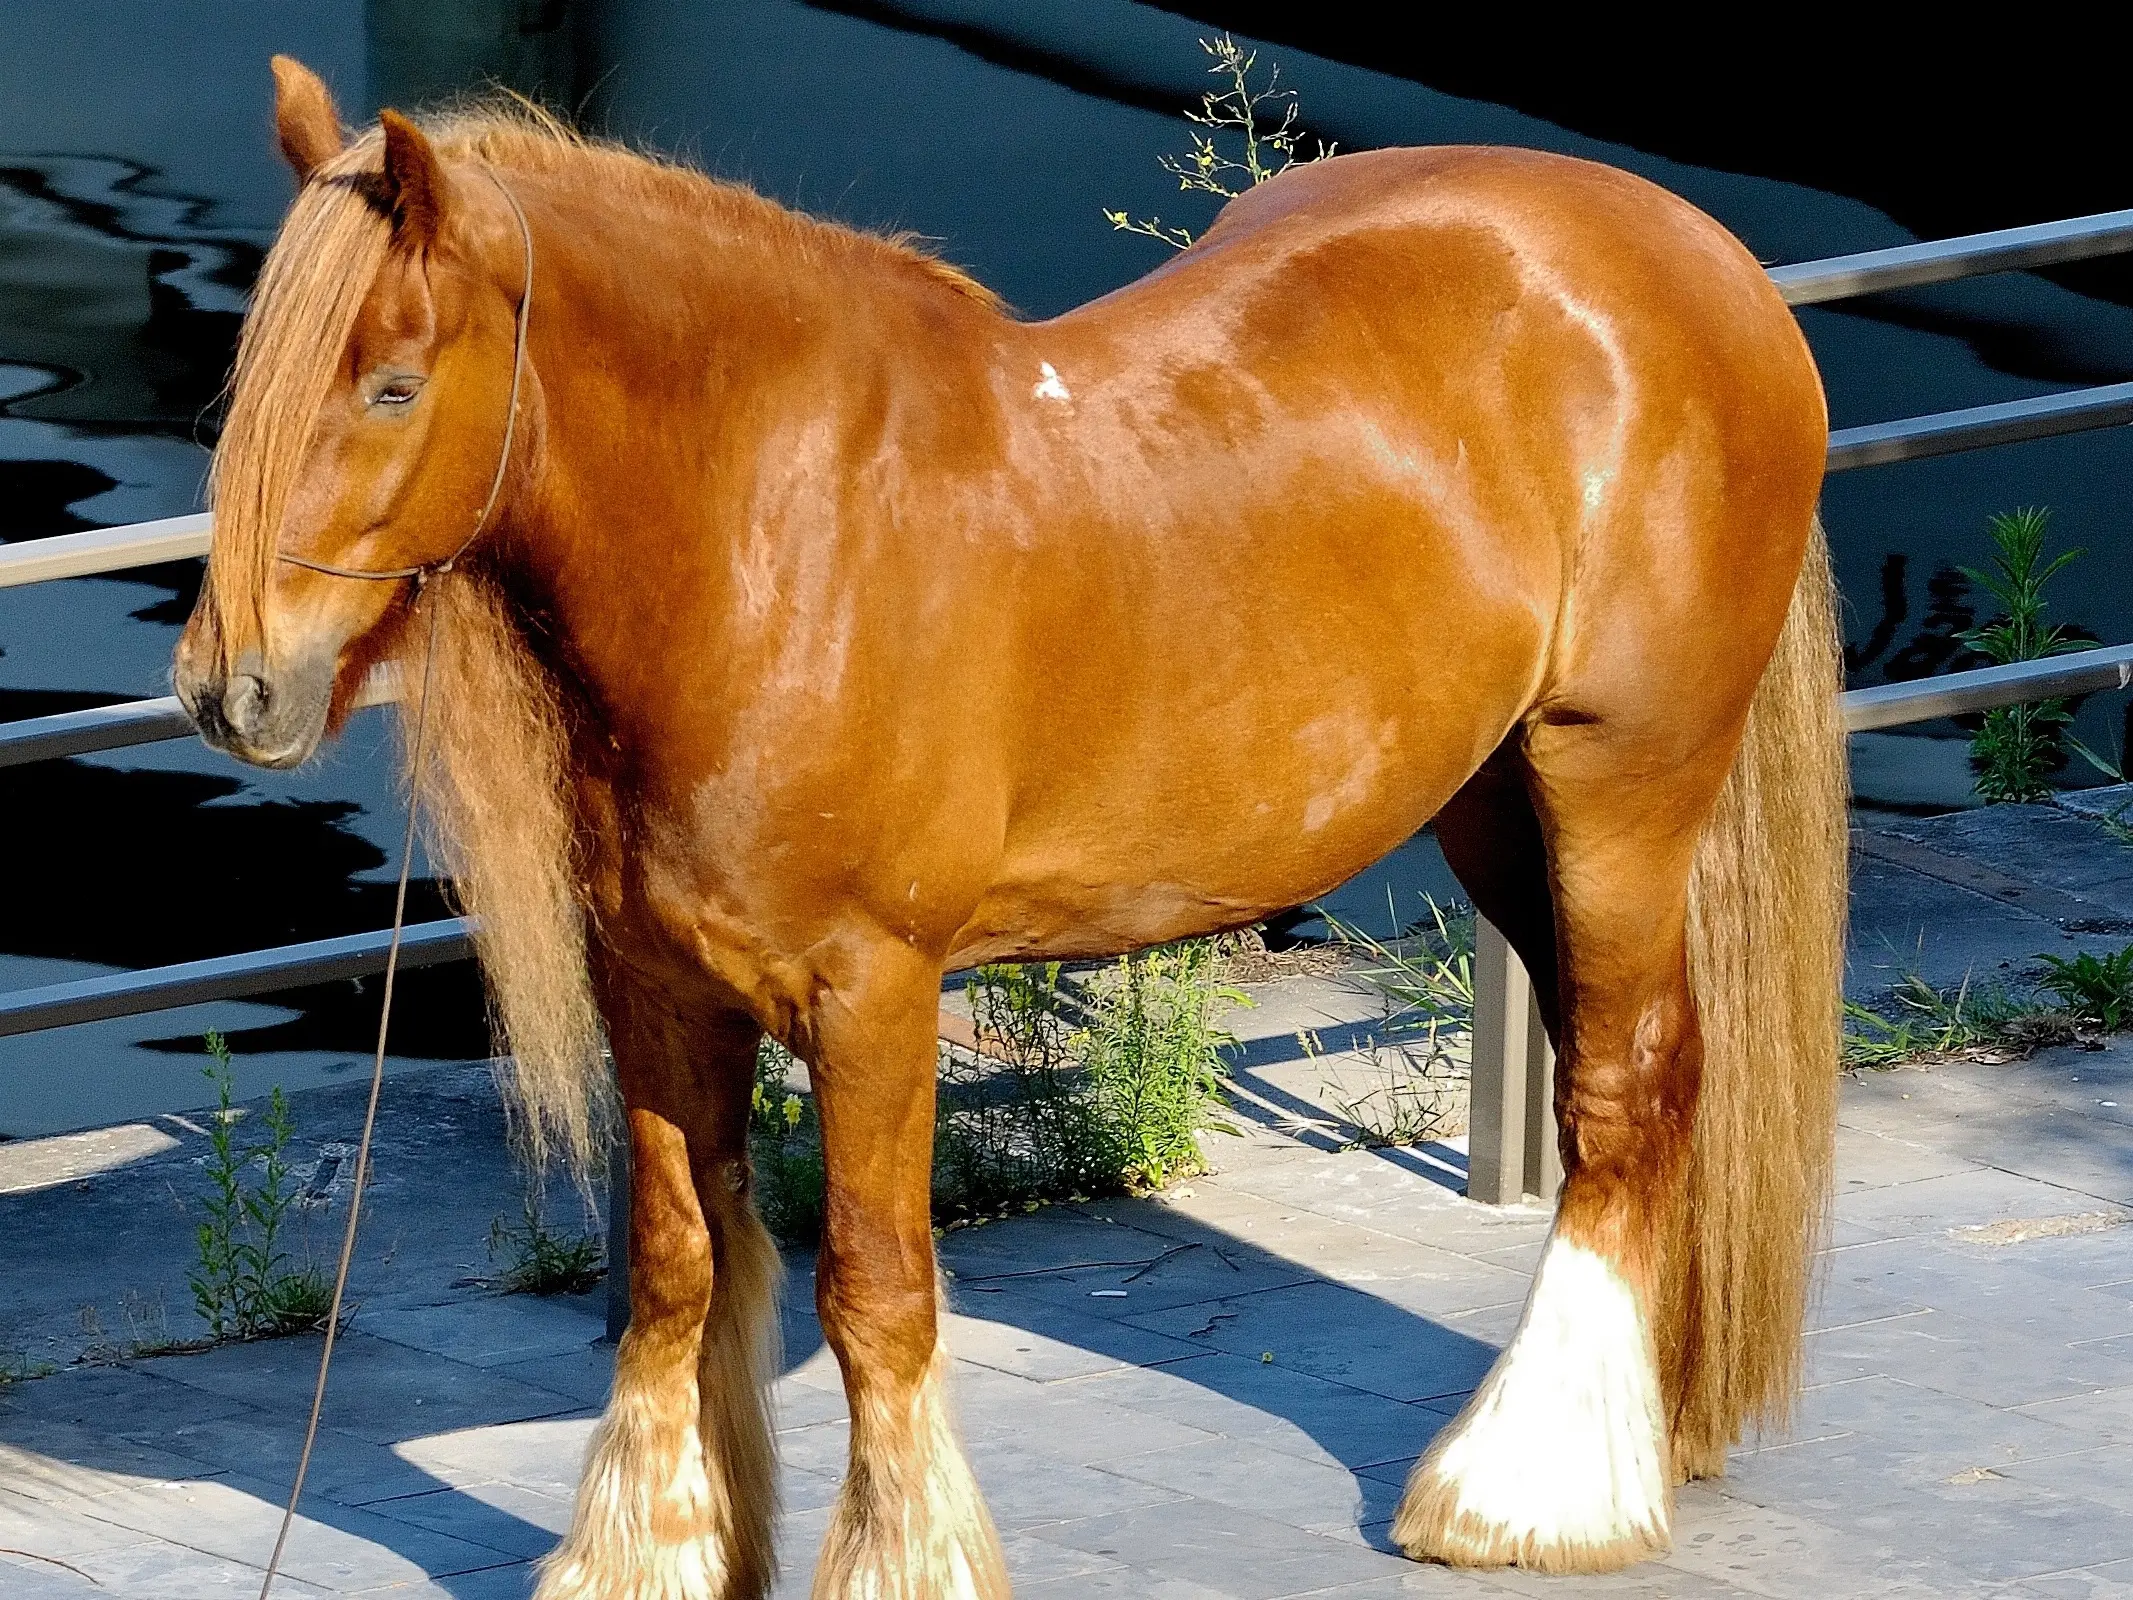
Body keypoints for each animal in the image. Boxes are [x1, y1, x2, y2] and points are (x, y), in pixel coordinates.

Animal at [179, 59, 1851, 1600]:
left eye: (391, 387)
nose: (230, 688)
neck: (775, 538)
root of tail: (1692, 254)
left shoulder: (872, 993)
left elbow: (875, 1291)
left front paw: (902, 1562)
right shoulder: (653, 984)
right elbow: (674, 1266)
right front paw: (648, 1555)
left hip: (1615, 788)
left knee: (1622, 1095)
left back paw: (1528, 1493)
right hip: (1500, 816)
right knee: (1659, 1074)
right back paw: (1652, 1427)